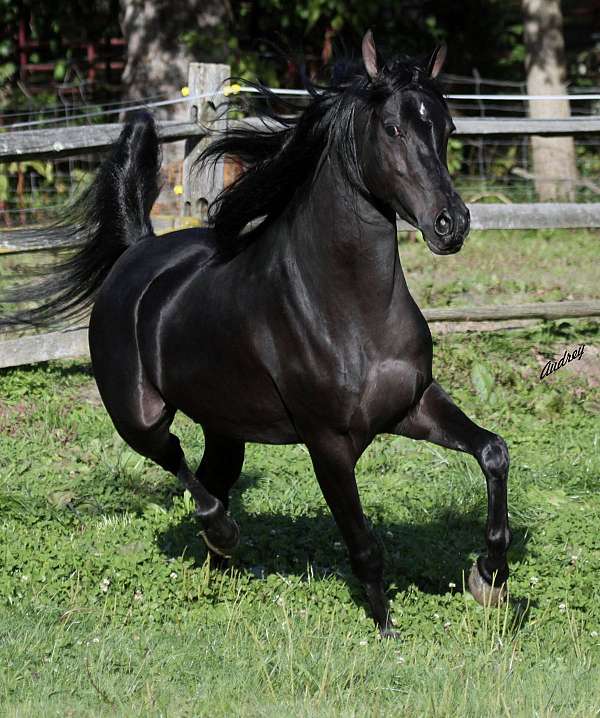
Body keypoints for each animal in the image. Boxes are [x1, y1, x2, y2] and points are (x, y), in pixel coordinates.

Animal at [1, 35, 510, 640]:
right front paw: (387, 630)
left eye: (448, 127)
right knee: (180, 467)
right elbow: (363, 543)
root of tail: (137, 253)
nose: (450, 224)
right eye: (392, 128)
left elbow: (493, 452)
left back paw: (225, 565)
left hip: (225, 427)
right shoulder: (328, 444)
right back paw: (222, 533)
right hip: (137, 418)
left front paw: (489, 576)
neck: (349, 310)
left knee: (210, 478)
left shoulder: (414, 405)